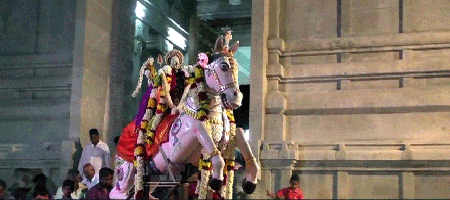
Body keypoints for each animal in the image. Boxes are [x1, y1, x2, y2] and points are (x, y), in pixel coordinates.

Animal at [111, 33, 260, 199]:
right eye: (223, 66)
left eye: (237, 69)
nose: (236, 98)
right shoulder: (182, 146)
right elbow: (204, 136)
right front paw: (216, 180)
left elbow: (241, 139)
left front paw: (250, 182)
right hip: (125, 174)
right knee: (117, 193)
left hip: (154, 176)